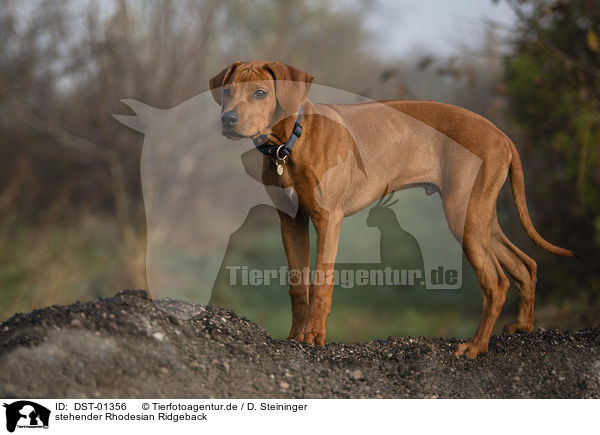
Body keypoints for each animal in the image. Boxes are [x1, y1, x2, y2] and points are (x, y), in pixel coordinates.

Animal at [209, 61, 576, 362]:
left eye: (260, 93)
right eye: (227, 91)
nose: (228, 119)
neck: (289, 144)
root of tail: (502, 135)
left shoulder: (329, 219)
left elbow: (321, 281)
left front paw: (313, 336)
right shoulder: (291, 222)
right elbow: (298, 285)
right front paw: (294, 336)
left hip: (464, 216)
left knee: (496, 282)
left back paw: (475, 347)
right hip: (480, 217)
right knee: (525, 265)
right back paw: (523, 326)